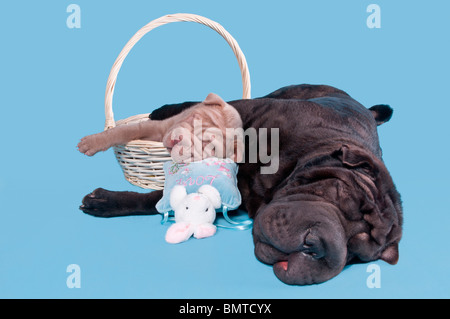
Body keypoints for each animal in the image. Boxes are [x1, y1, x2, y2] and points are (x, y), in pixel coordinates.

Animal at [77, 92, 243, 162]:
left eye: (209, 146)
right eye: (195, 118)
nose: (179, 139)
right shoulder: (160, 126)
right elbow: (125, 130)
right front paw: (90, 143)